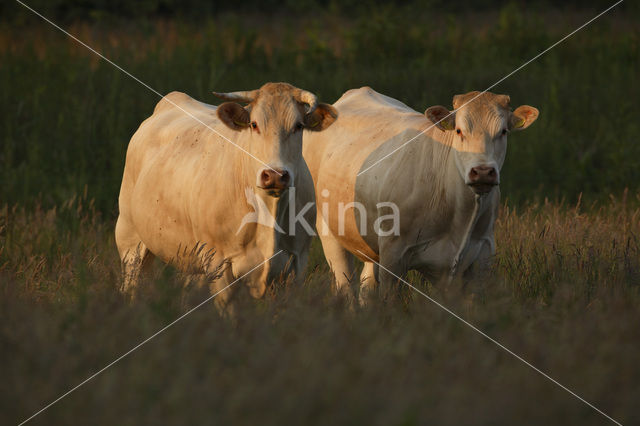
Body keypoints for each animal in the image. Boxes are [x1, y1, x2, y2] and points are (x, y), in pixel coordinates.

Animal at [117, 81, 340, 304]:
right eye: (254, 124)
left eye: (298, 126)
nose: (275, 175)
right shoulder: (219, 264)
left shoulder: (297, 263)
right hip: (130, 240)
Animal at [302, 86, 536, 302]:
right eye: (459, 131)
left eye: (503, 131)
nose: (483, 172)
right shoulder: (393, 255)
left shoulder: (482, 256)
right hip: (329, 230)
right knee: (345, 285)